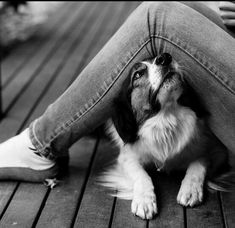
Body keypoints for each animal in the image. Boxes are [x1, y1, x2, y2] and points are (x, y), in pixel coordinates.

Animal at [98, 53, 232, 219]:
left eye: (160, 57)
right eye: (138, 74)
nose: (165, 57)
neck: (166, 117)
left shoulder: (216, 149)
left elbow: (198, 163)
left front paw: (191, 190)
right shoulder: (127, 157)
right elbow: (141, 175)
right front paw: (144, 201)